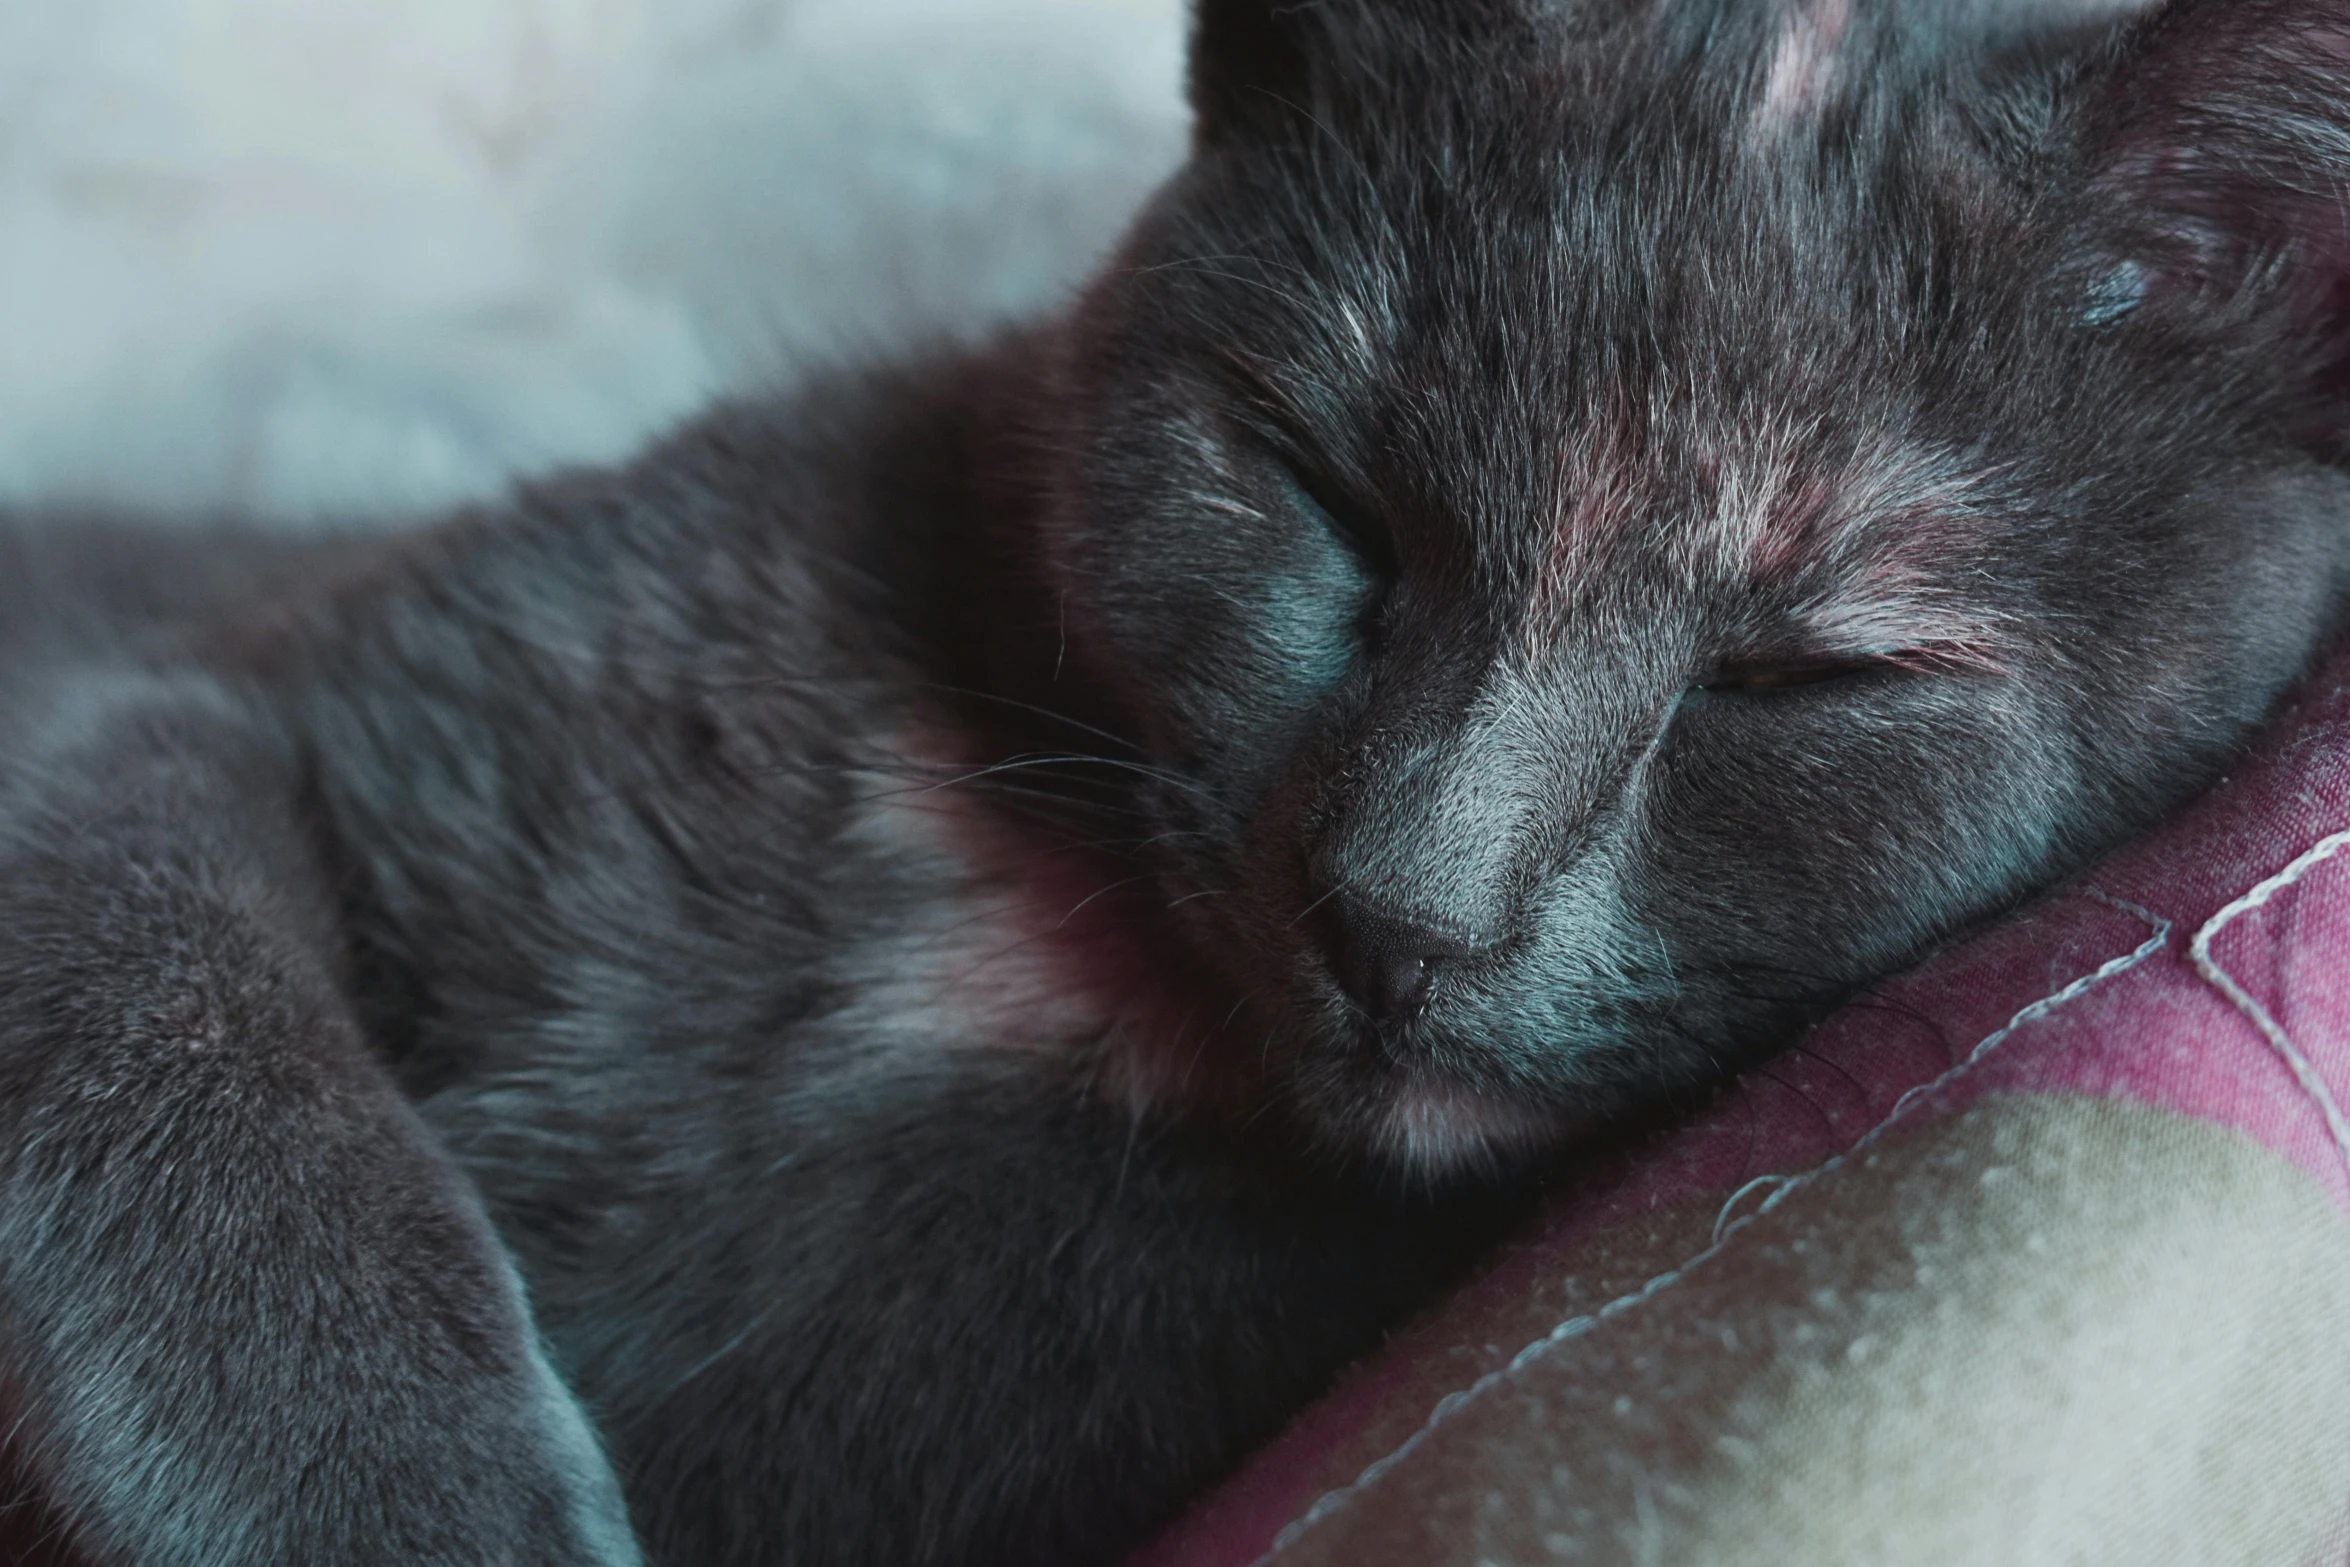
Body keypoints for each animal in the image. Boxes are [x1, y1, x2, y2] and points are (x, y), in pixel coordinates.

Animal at [4, 0, 2350, 1559]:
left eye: (1804, 679)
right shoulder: (183, 688)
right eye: (1320, 489)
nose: (1407, 903)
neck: (1062, 954)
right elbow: (188, 1037)